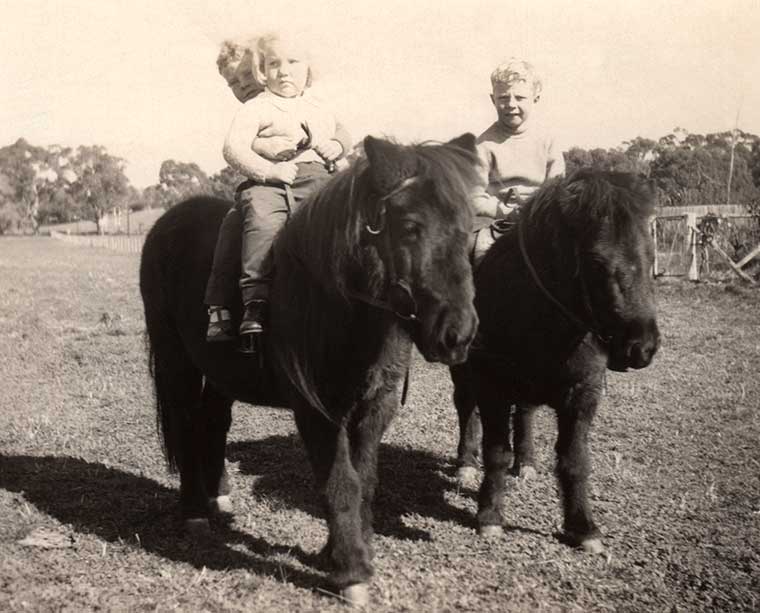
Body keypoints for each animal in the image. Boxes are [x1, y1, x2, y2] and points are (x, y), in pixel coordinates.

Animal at [140, 135, 478, 608]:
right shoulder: (316, 411)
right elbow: (340, 483)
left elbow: (364, 481)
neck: (337, 302)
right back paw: (193, 512)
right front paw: (351, 573)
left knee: (212, 421)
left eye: (469, 227)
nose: (458, 334)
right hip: (176, 359)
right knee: (188, 424)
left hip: (220, 369)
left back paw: (218, 497)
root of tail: (168, 221)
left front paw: (339, 552)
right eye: (410, 225)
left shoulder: (374, 408)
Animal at [452, 170, 660, 552]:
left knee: (525, 413)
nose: (642, 347)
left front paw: (582, 527)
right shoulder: (492, 386)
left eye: (651, 258)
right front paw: (490, 515)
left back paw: (527, 462)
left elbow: (574, 458)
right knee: (465, 408)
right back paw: (466, 464)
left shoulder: (582, 393)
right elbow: (496, 452)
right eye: (596, 261)